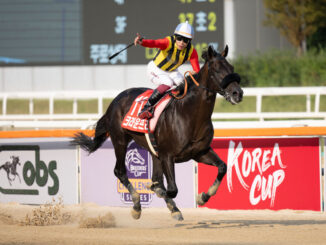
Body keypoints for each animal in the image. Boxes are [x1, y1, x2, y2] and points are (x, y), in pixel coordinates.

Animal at [73, 45, 242, 221]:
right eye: (216, 69)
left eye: (231, 68)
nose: (238, 93)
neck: (189, 114)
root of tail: (115, 101)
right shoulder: (167, 155)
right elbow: (171, 189)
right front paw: (158, 192)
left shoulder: (199, 152)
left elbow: (222, 167)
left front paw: (202, 197)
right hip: (120, 141)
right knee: (119, 171)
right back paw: (137, 206)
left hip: (152, 150)